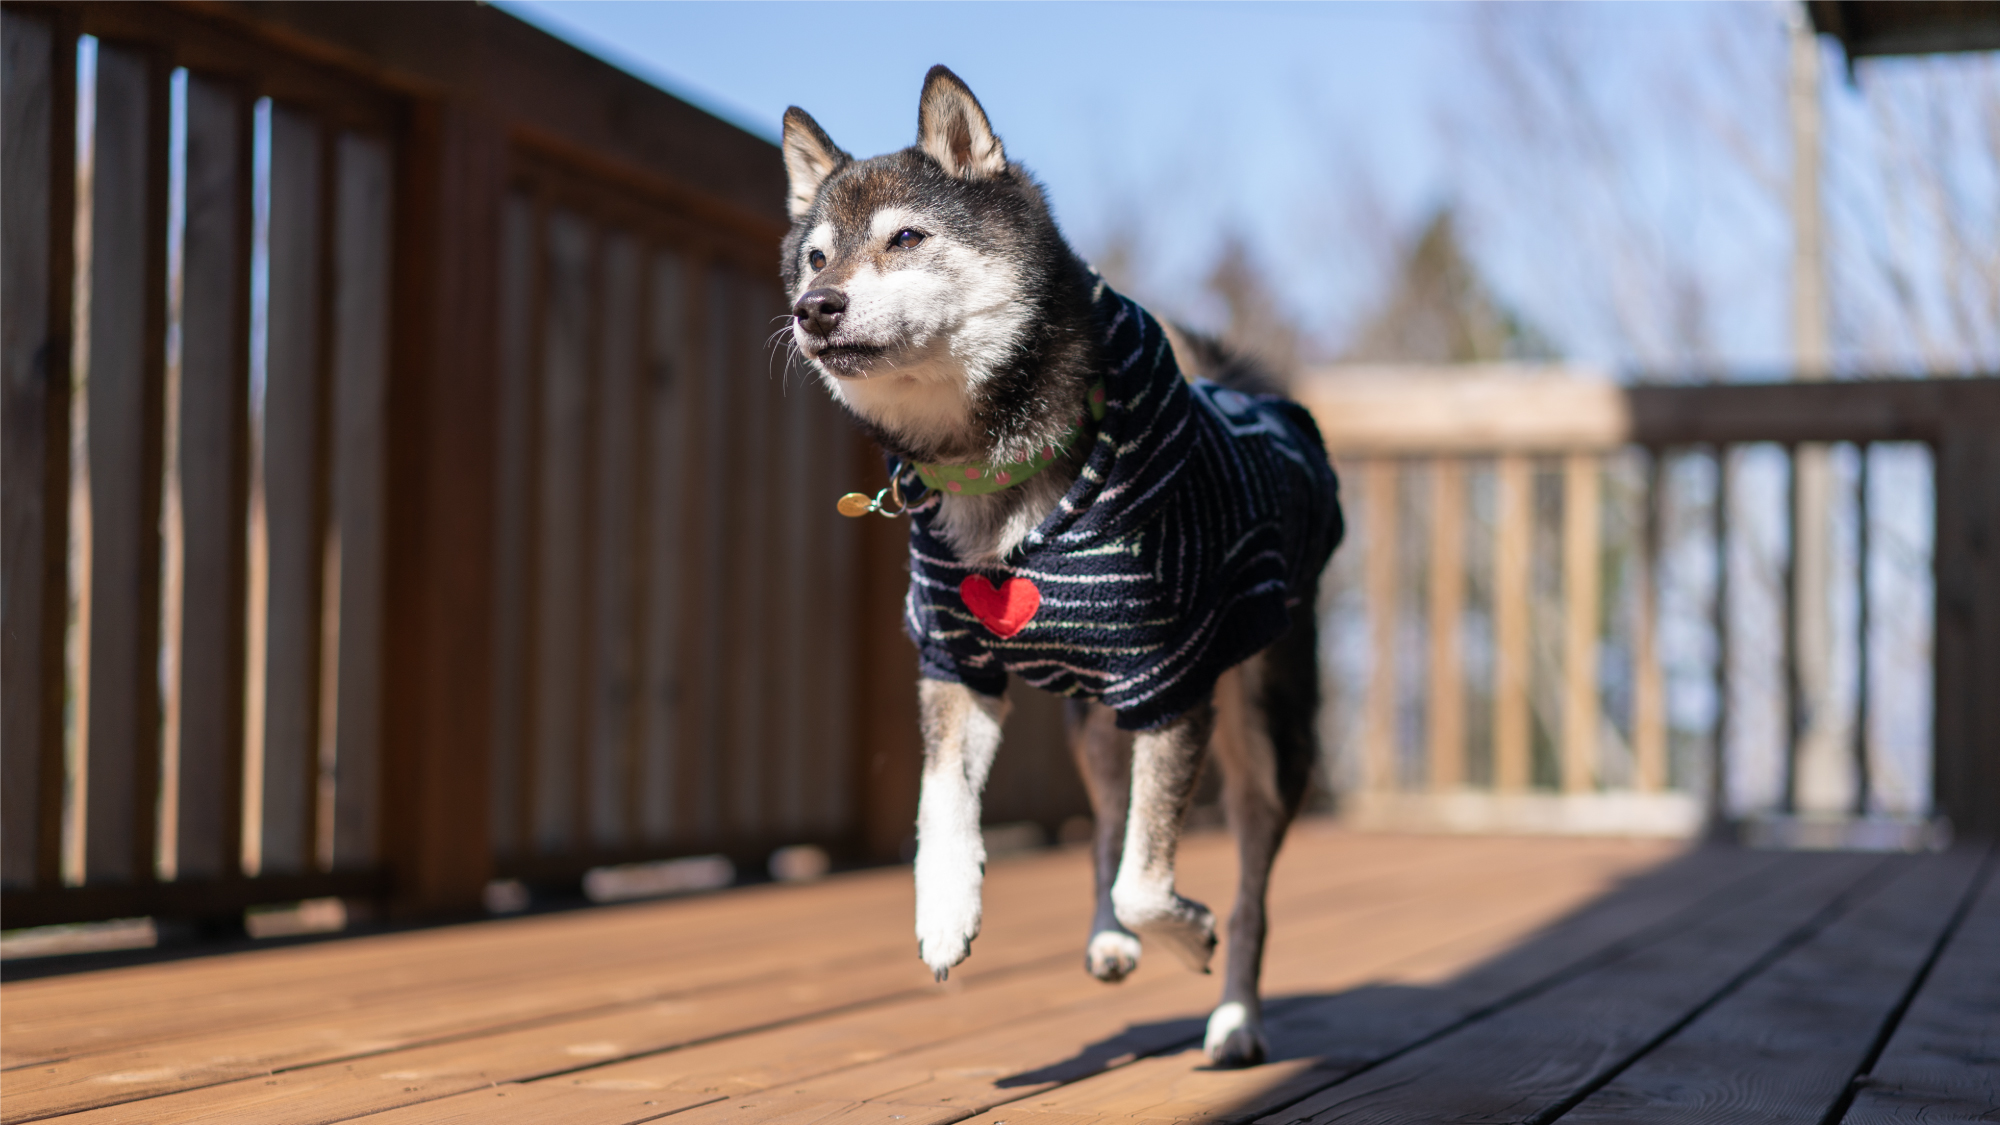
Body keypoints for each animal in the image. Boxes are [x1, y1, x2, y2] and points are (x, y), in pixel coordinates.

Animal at [780, 65, 1344, 1064]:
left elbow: (1152, 880)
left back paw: (1234, 1017)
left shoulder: (1172, 682)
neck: (989, 469)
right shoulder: (955, 658)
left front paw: (1185, 934)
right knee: (1105, 832)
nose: (816, 310)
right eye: (814, 259)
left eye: (905, 237)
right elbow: (943, 805)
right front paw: (944, 909)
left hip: (1266, 732)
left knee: (1247, 891)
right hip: (1096, 727)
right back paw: (1109, 941)